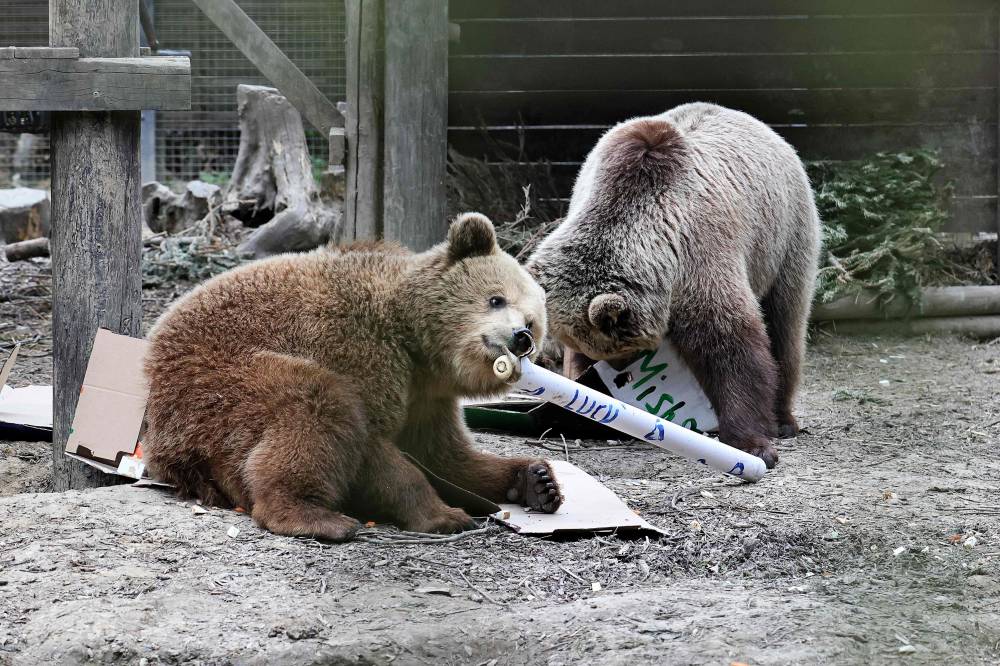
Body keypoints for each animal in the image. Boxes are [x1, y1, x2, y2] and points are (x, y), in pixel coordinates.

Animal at [143, 213, 562, 541]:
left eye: (532, 322)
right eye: (496, 298)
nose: (520, 337)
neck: (416, 345)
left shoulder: (426, 398)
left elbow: (445, 454)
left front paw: (537, 480)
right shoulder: (358, 347)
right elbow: (376, 446)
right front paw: (444, 515)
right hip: (217, 380)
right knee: (316, 406)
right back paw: (315, 516)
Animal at [527, 103, 821, 468]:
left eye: (620, 350)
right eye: (600, 352)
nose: (617, 374)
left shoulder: (700, 253)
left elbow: (731, 348)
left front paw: (751, 443)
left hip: (784, 236)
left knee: (786, 323)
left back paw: (783, 419)